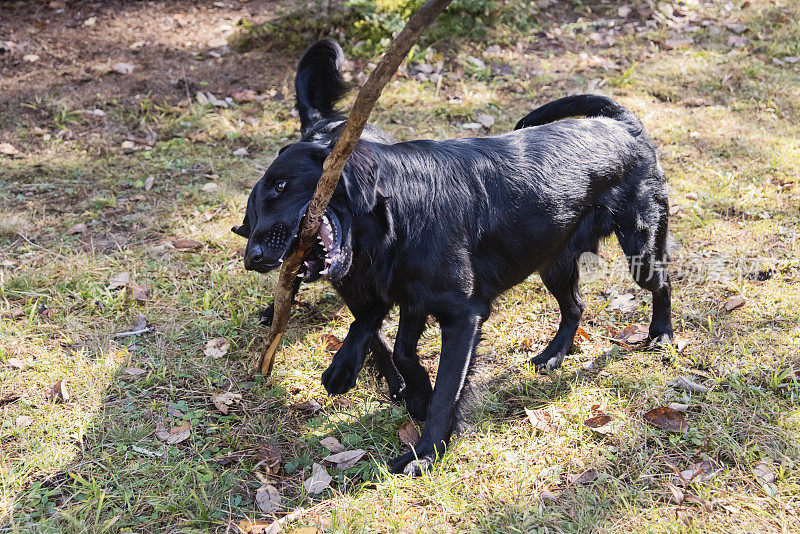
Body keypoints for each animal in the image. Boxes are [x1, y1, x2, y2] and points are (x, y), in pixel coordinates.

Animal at [234, 40, 672, 478]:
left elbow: (446, 388)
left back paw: (662, 334)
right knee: (576, 306)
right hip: (553, 261)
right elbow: (398, 348)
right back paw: (553, 355)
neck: (402, 214)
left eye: (281, 185)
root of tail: (624, 125)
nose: (252, 257)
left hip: (639, 248)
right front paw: (407, 391)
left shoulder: (463, 315)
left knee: (662, 283)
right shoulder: (407, 296)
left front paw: (425, 451)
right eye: (251, 216)